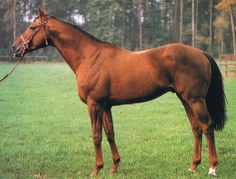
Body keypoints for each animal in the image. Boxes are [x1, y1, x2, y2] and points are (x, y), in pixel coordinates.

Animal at [12, 8, 226, 176]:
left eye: (32, 28)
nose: (15, 47)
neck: (90, 57)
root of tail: (201, 53)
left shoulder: (94, 105)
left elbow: (96, 136)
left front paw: (96, 169)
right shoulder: (106, 106)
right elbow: (110, 134)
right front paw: (114, 167)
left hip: (195, 100)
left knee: (207, 127)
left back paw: (212, 167)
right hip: (185, 99)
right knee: (196, 128)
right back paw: (193, 166)